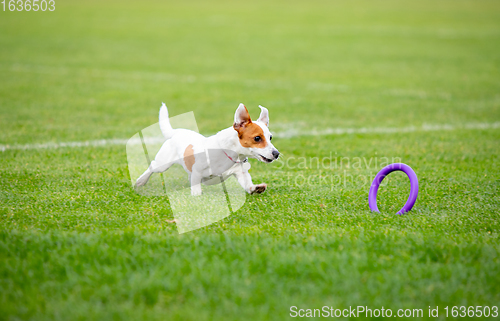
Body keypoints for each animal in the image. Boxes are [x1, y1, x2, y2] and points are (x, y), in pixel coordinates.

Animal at [135, 104, 280, 196]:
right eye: (257, 138)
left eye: (270, 137)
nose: (276, 154)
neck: (230, 155)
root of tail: (175, 132)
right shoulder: (197, 171)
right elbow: (196, 188)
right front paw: (197, 195)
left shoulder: (241, 173)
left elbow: (248, 184)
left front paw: (256, 188)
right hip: (163, 164)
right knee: (152, 166)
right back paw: (141, 181)